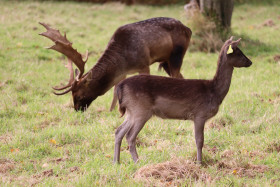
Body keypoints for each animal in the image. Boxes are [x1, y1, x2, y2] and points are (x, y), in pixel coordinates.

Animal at [38, 17, 192, 111]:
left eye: (80, 95)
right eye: (72, 94)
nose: (77, 110)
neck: (123, 61)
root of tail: (188, 29)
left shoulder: (143, 64)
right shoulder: (122, 73)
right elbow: (115, 90)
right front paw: (113, 111)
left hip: (177, 54)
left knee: (176, 76)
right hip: (165, 61)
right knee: (181, 77)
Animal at [112, 36, 253, 164]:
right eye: (238, 52)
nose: (250, 62)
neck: (214, 92)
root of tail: (120, 86)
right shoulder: (200, 114)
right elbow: (199, 140)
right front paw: (199, 163)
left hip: (131, 111)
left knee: (119, 131)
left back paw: (116, 161)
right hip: (141, 110)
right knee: (130, 136)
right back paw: (137, 161)